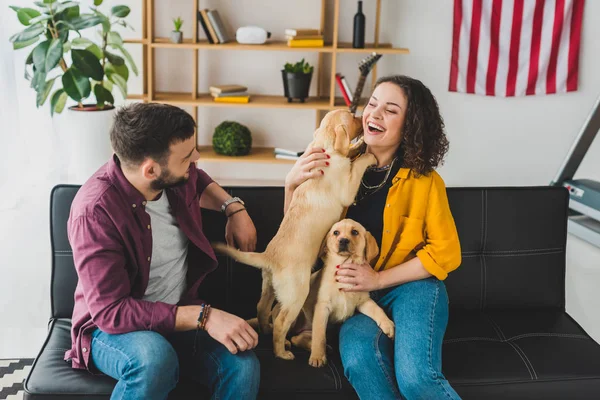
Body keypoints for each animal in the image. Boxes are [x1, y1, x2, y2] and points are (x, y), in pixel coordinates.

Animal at [212, 108, 376, 360]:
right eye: (352, 117)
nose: (362, 116)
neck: (324, 147)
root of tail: (268, 257)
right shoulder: (347, 187)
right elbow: (356, 166)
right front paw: (366, 153)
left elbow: (349, 155)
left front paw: (356, 148)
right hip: (297, 292)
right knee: (281, 321)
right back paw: (282, 352)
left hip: (270, 286)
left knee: (262, 308)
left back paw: (268, 331)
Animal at [290, 220, 394, 368]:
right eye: (336, 233)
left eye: (355, 232)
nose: (343, 240)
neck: (345, 264)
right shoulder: (323, 307)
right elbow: (319, 336)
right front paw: (317, 356)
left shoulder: (363, 301)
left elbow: (377, 309)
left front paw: (387, 324)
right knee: (293, 338)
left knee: (297, 338)